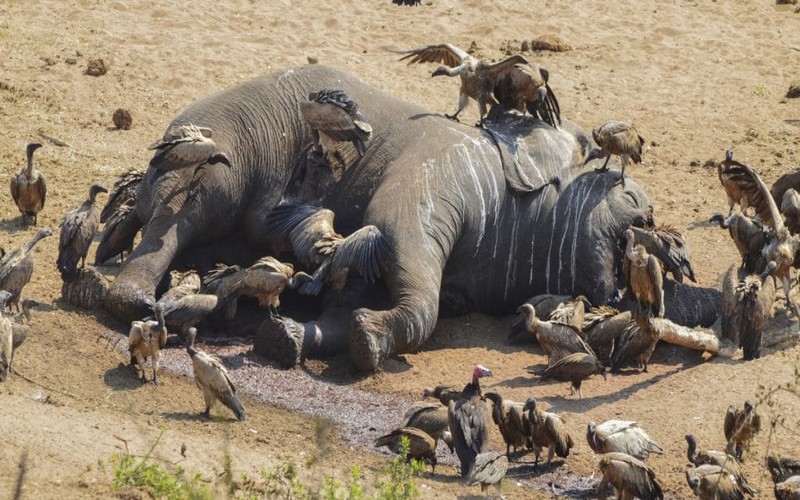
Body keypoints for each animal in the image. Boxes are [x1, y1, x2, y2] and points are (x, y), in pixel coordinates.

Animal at [99, 64, 718, 372]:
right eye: (631, 196)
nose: (654, 224)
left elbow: (348, 298)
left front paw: (291, 337)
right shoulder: (432, 179)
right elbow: (416, 291)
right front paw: (370, 341)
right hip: (226, 147)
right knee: (178, 213)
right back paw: (135, 299)